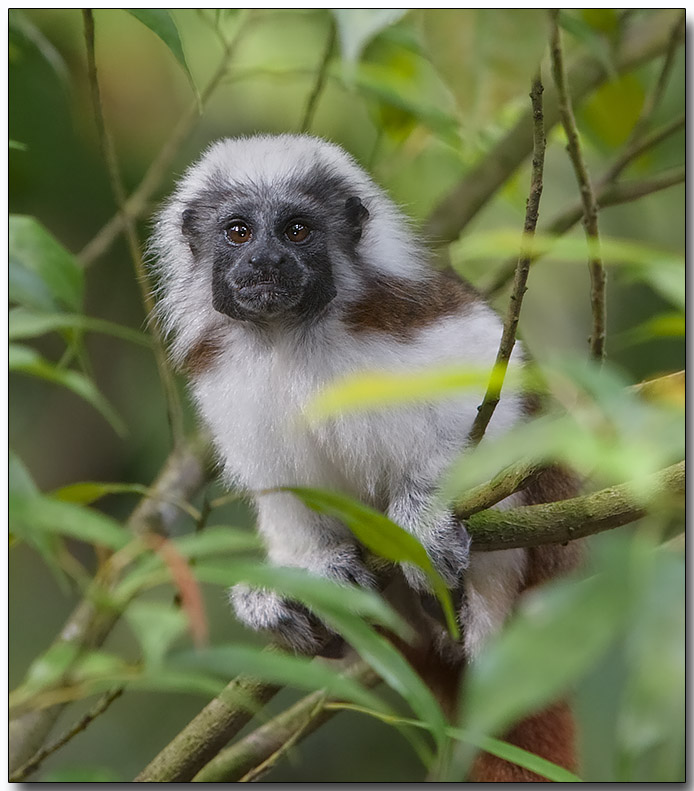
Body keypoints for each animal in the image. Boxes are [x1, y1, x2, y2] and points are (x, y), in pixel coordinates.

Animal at [152, 135, 580, 780]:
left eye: (297, 230)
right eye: (239, 233)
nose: (266, 263)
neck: (289, 333)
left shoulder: (410, 321)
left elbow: (499, 403)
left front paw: (426, 516)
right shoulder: (225, 378)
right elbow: (282, 491)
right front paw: (309, 578)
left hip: (544, 548)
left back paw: (453, 603)